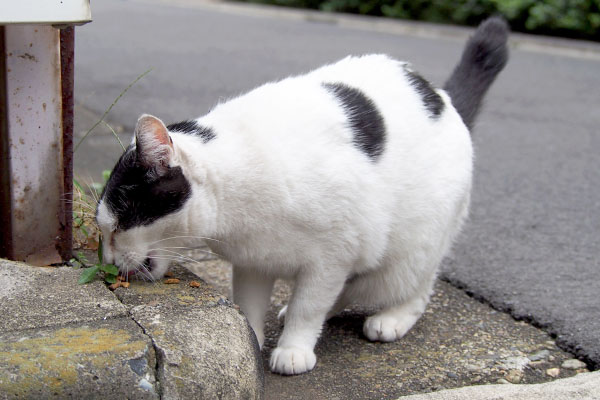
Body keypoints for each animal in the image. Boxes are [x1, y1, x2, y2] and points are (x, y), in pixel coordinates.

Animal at [96, 17, 508, 376]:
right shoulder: (254, 260)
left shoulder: (333, 255)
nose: (109, 261)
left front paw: (294, 348)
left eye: (117, 226)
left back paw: (391, 319)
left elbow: (308, 307)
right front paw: (253, 339)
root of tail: (443, 96)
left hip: (407, 252)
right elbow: (251, 304)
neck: (235, 207)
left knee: (414, 289)